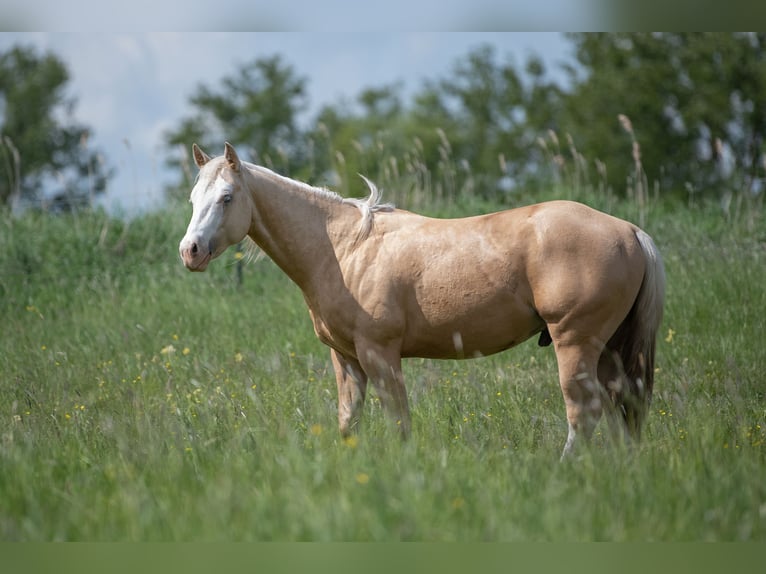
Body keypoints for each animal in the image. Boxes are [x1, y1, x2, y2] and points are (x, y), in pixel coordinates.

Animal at [179, 143, 665, 459]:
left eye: (227, 197)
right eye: (193, 198)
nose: (190, 251)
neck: (343, 247)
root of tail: (630, 231)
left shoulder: (380, 354)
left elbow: (399, 421)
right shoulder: (346, 359)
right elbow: (348, 421)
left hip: (575, 344)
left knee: (584, 413)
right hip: (609, 350)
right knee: (622, 408)